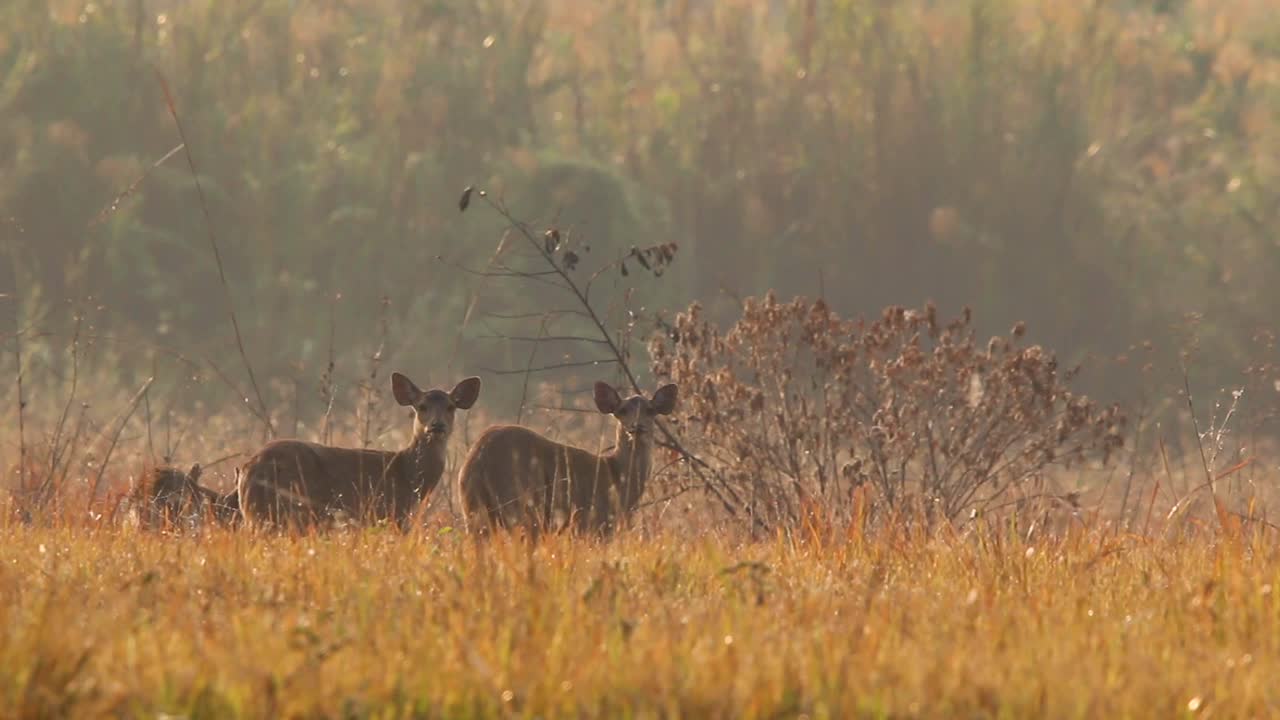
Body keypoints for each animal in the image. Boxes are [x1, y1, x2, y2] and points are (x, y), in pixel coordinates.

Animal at [238, 371, 481, 530]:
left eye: (451, 407)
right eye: (422, 406)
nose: (437, 426)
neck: (406, 472)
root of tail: (248, 468)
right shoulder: (389, 511)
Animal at [460, 379, 680, 535]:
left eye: (650, 410)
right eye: (622, 410)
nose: (637, 427)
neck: (616, 477)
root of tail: (479, 457)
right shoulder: (594, 523)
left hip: (473, 511)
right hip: (522, 505)